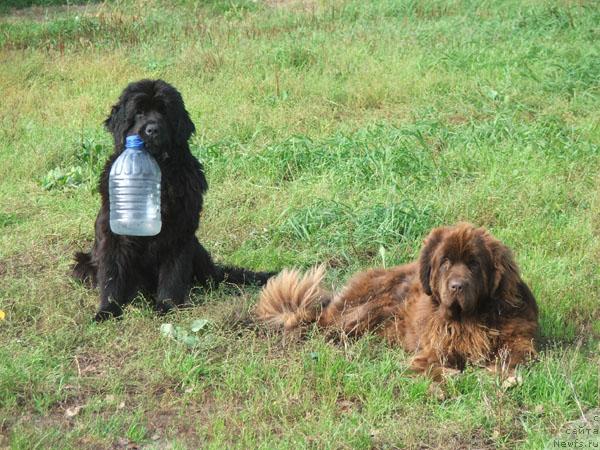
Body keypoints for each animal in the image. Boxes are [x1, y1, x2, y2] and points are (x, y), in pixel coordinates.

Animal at [74, 80, 276, 320]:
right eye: (139, 112)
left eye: (164, 111)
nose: (152, 130)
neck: (158, 169)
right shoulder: (113, 234)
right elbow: (112, 275)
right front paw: (107, 310)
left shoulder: (179, 232)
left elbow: (173, 274)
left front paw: (167, 306)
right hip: (83, 264)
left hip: (197, 250)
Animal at [255, 224, 536, 376]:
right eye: (445, 262)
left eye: (474, 264)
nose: (456, 286)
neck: (470, 318)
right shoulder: (436, 346)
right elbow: (434, 363)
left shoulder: (520, 340)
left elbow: (514, 356)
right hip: (368, 309)